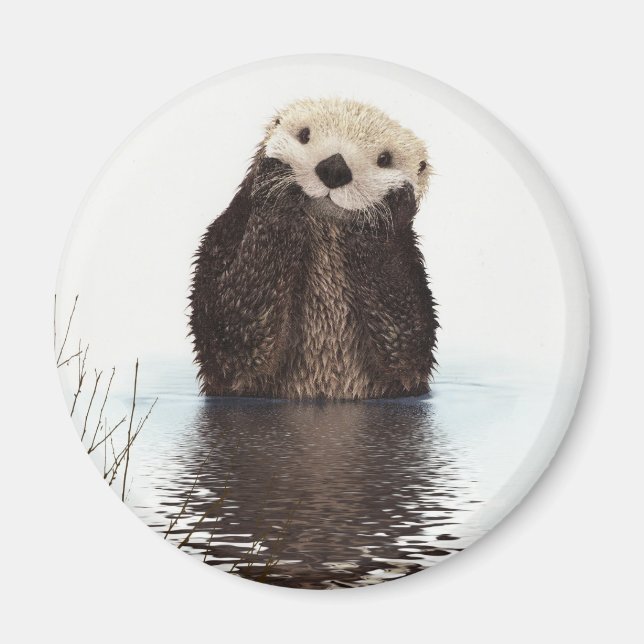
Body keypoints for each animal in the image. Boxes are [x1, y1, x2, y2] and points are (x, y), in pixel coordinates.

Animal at [190, 98, 437, 399]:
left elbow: (407, 346)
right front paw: (276, 184)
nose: (335, 168)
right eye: (304, 135)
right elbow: (231, 334)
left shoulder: (411, 270)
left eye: (384, 159)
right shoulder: (223, 238)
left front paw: (387, 209)